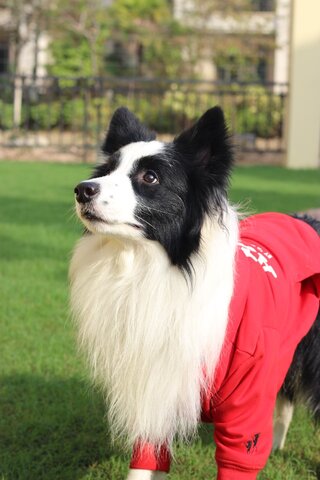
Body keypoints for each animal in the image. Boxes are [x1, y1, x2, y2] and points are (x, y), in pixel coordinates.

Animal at [70, 107, 320, 478]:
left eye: (150, 177)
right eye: (106, 170)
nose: (82, 189)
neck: (157, 270)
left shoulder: (247, 400)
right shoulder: (155, 391)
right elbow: (146, 456)